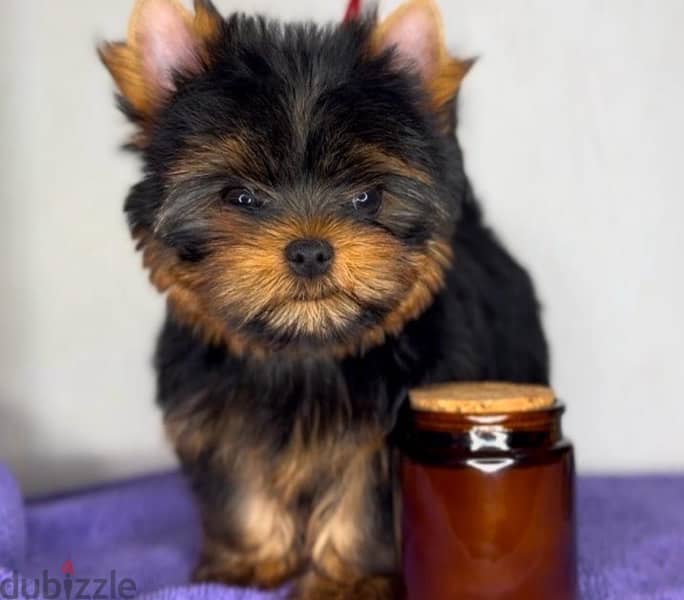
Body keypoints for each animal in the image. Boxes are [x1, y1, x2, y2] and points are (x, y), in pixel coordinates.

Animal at [101, 0, 552, 596]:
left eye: (367, 197)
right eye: (240, 197)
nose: (310, 250)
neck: (304, 348)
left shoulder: (385, 438)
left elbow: (365, 504)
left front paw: (349, 579)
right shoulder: (218, 420)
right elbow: (239, 484)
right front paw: (251, 561)